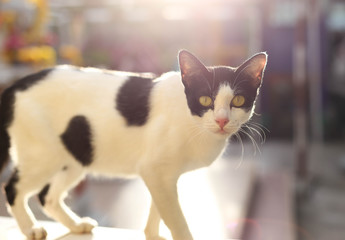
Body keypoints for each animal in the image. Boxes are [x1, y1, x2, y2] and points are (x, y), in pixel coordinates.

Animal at [0, 49, 266, 239]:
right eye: (205, 100)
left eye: (238, 100)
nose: (222, 120)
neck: (195, 126)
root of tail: (16, 84)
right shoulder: (155, 170)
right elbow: (176, 219)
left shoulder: (163, 175)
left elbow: (158, 209)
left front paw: (152, 235)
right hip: (43, 157)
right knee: (13, 188)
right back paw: (30, 229)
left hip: (76, 157)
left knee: (47, 196)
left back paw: (75, 225)